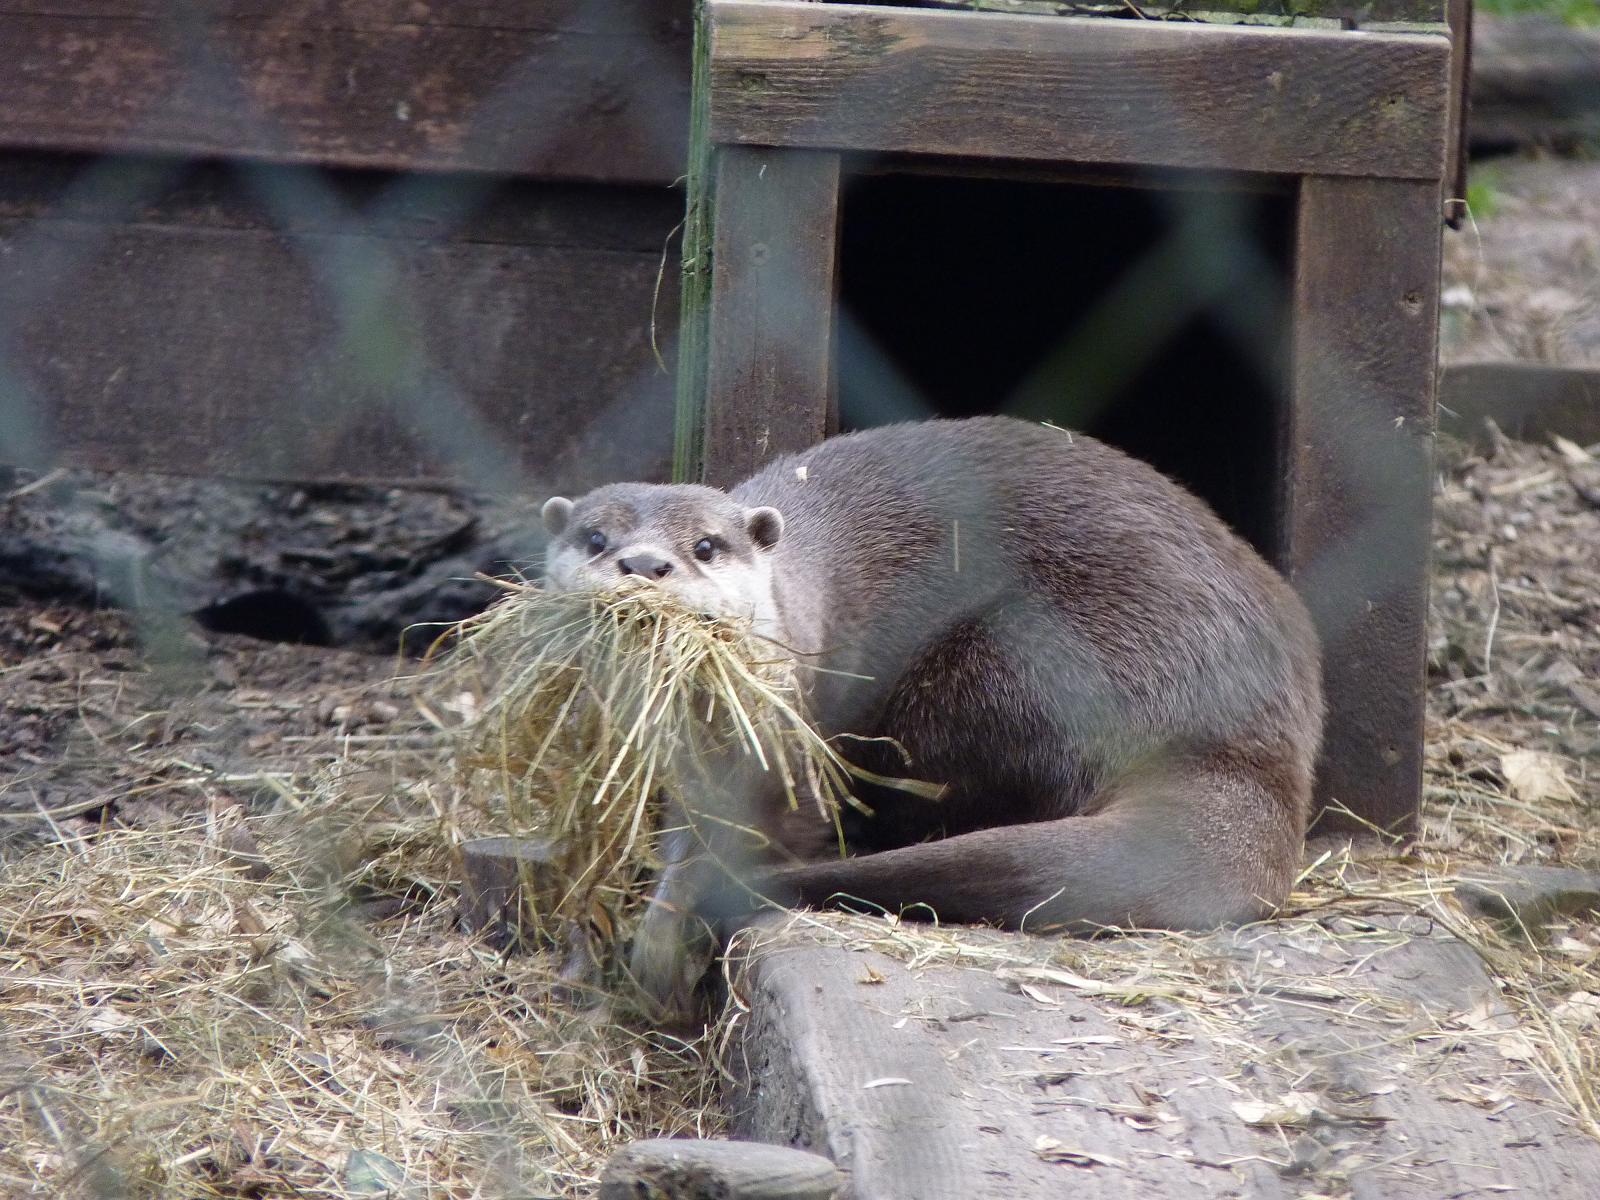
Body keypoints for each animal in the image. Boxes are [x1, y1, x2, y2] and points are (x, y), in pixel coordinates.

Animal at [541, 417, 1323, 1013]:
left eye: (704, 546)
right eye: (596, 539)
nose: (644, 564)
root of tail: (1244, 748)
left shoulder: (792, 749)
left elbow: (761, 837)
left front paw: (676, 937)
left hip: (1009, 671)